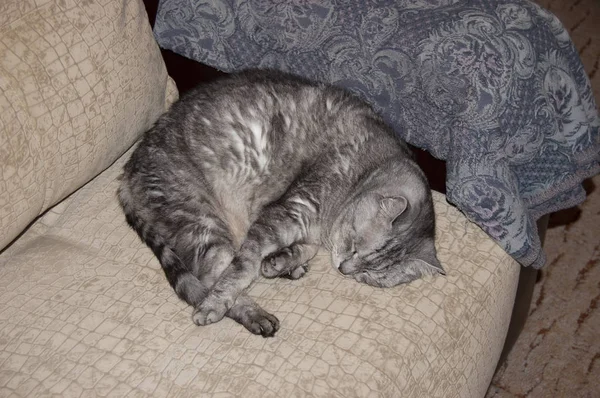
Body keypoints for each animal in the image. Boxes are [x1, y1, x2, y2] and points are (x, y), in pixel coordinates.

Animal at [118, 70, 446, 338]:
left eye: (369, 276)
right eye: (355, 246)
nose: (344, 270)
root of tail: (128, 169)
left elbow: (302, 249)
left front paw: (283, 260)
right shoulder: (287, 211)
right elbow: (242, 268)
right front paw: (268, 266)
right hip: (200, 219)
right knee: (214, 276)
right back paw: (248, 312)